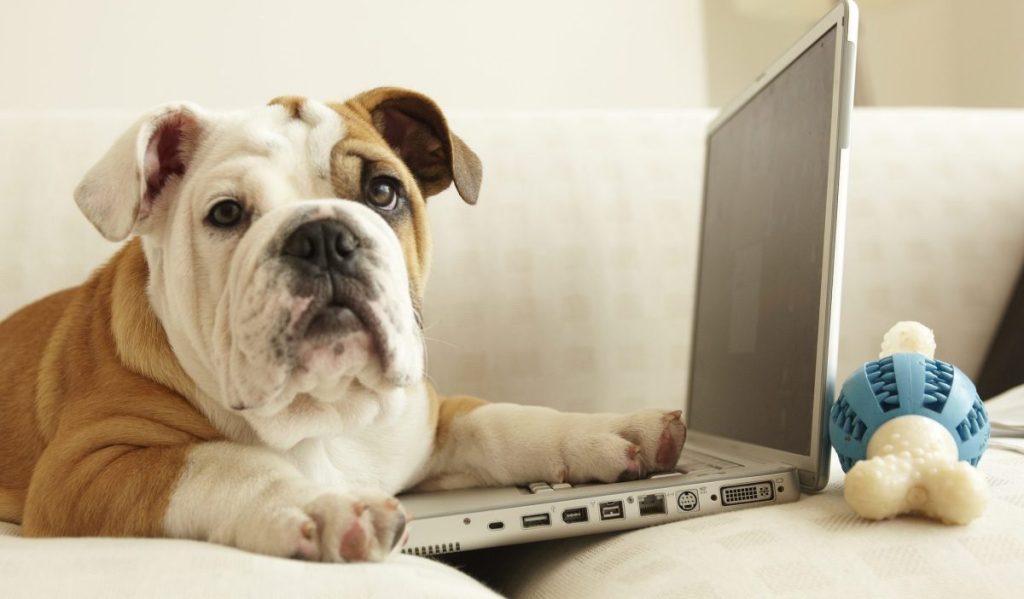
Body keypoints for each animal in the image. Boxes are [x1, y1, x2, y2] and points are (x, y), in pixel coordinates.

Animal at [2, 88, 688, 561]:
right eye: (226, 213)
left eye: (384, 191)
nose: (323, 237)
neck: (328, 413)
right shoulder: (85, 469)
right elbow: (219, 462)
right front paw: (324, 504)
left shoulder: (431, 420)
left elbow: (505, 421)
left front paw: (609, 431)